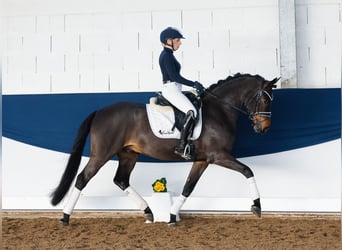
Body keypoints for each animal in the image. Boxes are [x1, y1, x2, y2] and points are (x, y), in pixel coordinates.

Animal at [52, 73, 280, 226]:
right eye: (264, 99)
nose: (264, 128)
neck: (220, 111)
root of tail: (100, 111)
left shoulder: (202, 160)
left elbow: (188, 187)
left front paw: (171, 217)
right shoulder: (218, 156)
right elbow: (248, 171)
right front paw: (257, 207)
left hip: (128, 154)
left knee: (121, 180)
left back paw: (148, 212)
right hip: (102, 154)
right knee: (82, 179)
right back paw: (65, 218)